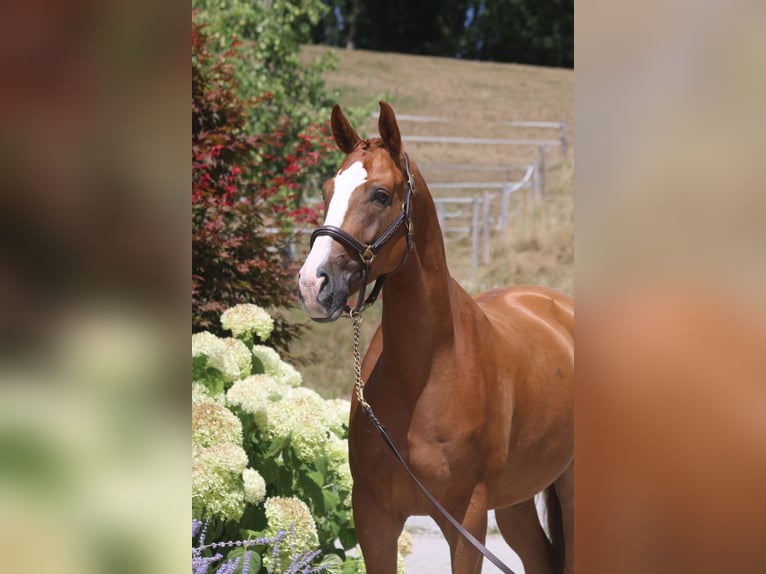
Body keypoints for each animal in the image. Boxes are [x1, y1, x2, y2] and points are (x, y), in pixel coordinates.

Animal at [297, 101, 574, 574]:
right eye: (327, 189)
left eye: (380, 195)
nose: (313, 284)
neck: (427, 371)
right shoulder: (374, 517)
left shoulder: (467, 519)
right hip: (516, 500)